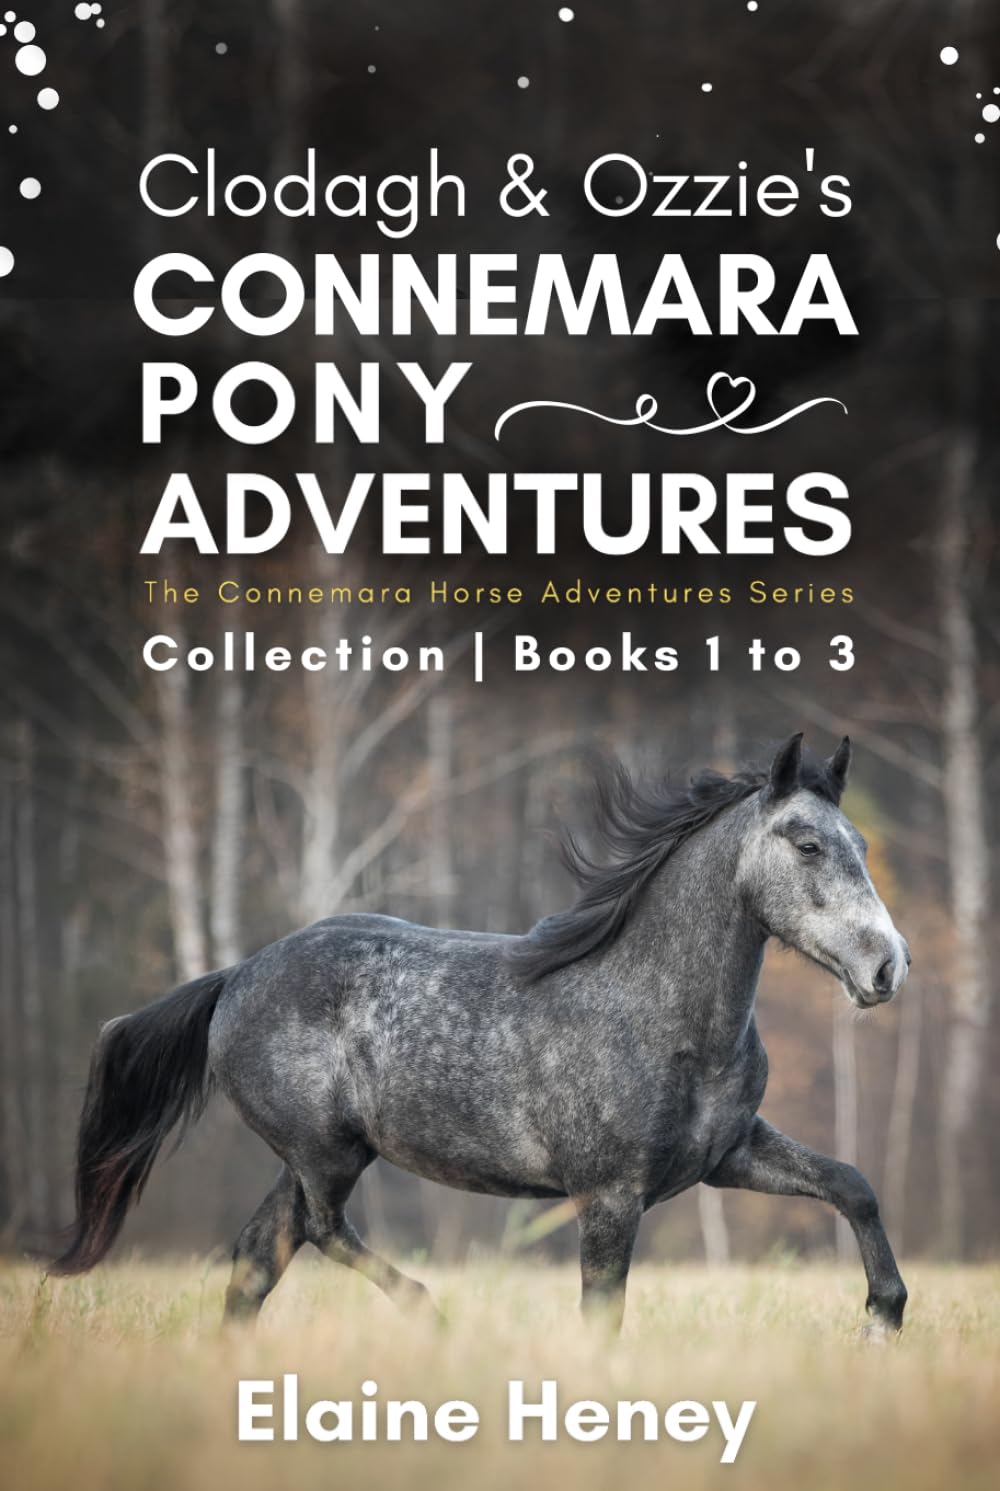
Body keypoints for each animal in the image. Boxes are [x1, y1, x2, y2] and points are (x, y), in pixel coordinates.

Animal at [51, 732, 911, 1335]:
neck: (660, 1015)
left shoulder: (727, 1155)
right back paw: (430, 1312)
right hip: (323, 1150)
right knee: (322, 1229)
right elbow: (602, 1313)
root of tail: (234, 977)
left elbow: (853, 1184)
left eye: (864, 845)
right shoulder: (609, 1195)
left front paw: (884, 1314)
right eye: (807, 843)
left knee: (258, 1257)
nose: (888, 965)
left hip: (318, 1156)